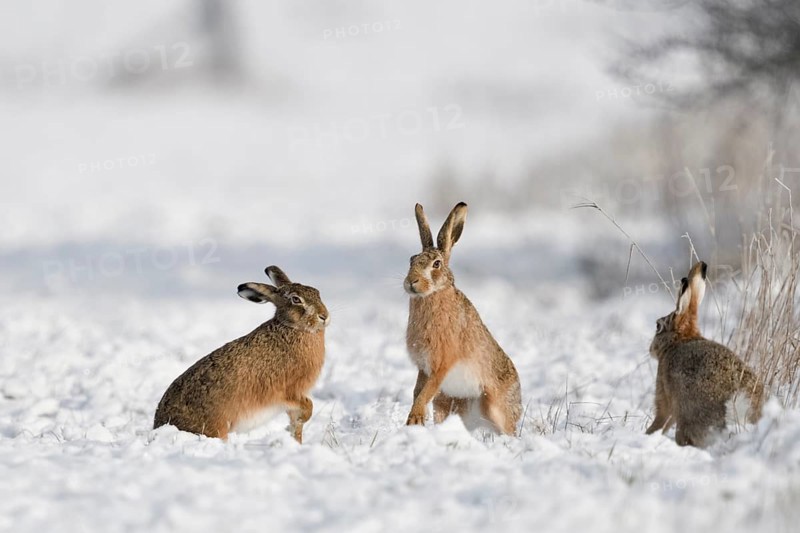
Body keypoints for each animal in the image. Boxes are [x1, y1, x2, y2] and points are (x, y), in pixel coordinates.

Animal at [153, 266, 329, 443]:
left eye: (318, 293)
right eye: (296, 299)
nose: (324, 316)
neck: (292, 327)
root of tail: (158, 424)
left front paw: (297, 441)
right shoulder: (286, 390)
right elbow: (307, 406)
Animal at [403, 202, 522, 435]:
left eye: (436, 264)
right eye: (411, 260)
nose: (412, 281)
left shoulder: (441, 363)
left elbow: (425, 392)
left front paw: (414, 419)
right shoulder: (423, 367)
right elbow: (417, 391)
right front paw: (416, 422)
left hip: (494, 405)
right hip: (446, 401)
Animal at [646, 260, 764, 447]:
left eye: (658, 326)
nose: (650, 349)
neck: (680, 340)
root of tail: (735, 410)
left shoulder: (664, 389)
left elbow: (662, 417)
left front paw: (648, 434)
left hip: (688, 416)